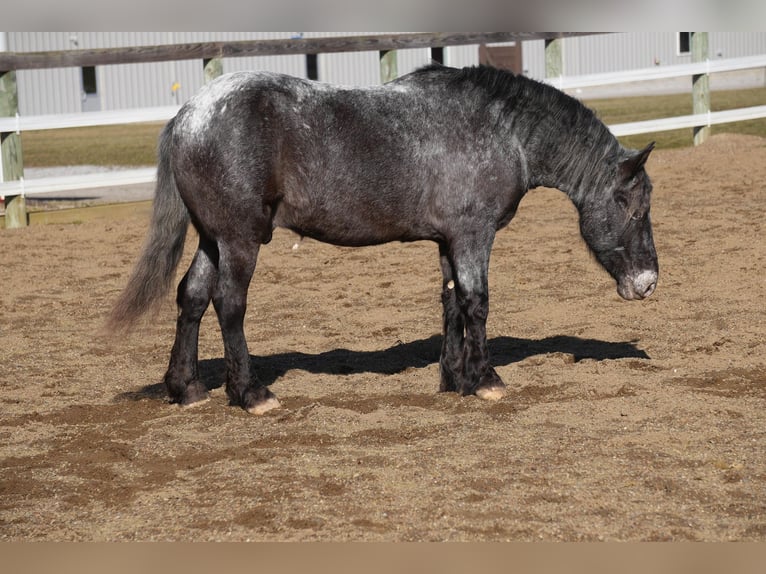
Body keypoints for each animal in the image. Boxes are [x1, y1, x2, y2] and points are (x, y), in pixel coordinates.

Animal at [108, 65, 660, 416]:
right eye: (633, 206)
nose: (648, 281)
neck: (502, 129)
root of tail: (190, 114)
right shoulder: (473, 235)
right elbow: (477, 303)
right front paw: (486, 381)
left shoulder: (447, 241)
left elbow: (451, 303)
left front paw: (453, 379)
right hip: (239, 239)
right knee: (229, 303)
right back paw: (250, 393)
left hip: (212, 238)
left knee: (193, 297)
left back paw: (186, 388)